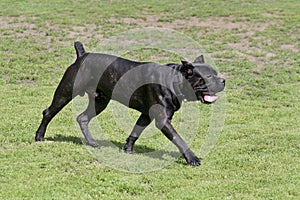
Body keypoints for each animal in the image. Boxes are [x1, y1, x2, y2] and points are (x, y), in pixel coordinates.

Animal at [35, 41, 224, 166]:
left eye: (216, 73)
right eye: (208, 77)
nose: (223, 80)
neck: (174, 79)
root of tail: (82, 55)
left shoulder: (146, 115)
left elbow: (135, 132)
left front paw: (127, 148)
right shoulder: (162, 120)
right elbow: (179, 139)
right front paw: (192, 158)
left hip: (100, 102)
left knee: (82, 117)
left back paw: (92, 142)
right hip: (64, 94)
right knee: (48, 112)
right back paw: (39, 137)